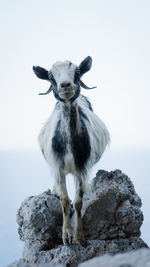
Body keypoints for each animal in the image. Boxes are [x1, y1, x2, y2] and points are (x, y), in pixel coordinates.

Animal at [33, 56, 110, 245]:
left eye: (77, 71)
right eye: (50, 76)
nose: (66, 85)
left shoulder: (81, 169)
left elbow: (77, 202)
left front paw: (79, 235)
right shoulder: (58, 169)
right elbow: (64, 200)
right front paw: (66, 235)